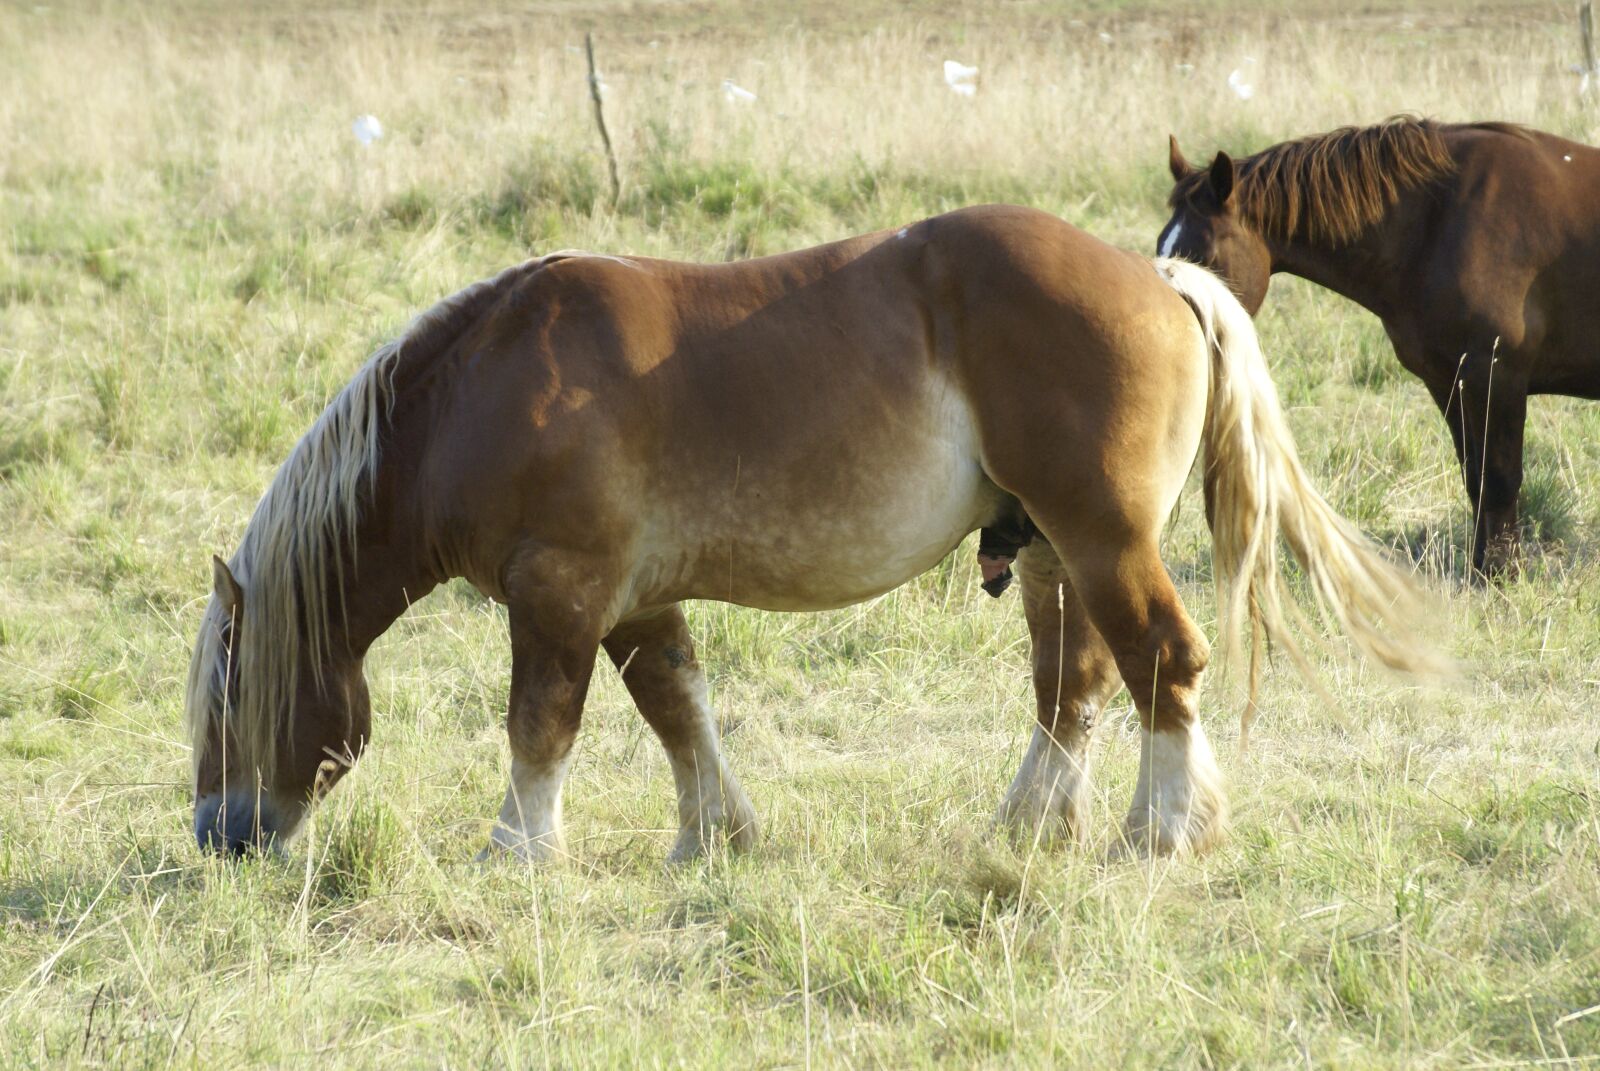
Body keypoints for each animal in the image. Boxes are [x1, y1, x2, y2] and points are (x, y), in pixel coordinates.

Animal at [184, 204, 1440, 864]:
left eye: (226, 699)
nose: (217, 836)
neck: (485, 389)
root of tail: (1159, 274)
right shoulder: (636, 599)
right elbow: (678, 709)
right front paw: (714, 837)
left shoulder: (561, 594)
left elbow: (540, 727)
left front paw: (518, 854)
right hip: (1051, 552)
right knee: (1071, 688)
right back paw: (1029, 827)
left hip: (1101, 541)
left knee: (1161, 666)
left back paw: (1161, 831)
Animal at [1164, 116, 1600, 576]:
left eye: (1205, 260)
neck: (1441, 219)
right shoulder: (1449, 381)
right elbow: (1475, 477)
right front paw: (1483, 566)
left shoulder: (1497, 374)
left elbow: (1499, 478)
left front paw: (1502, 571)